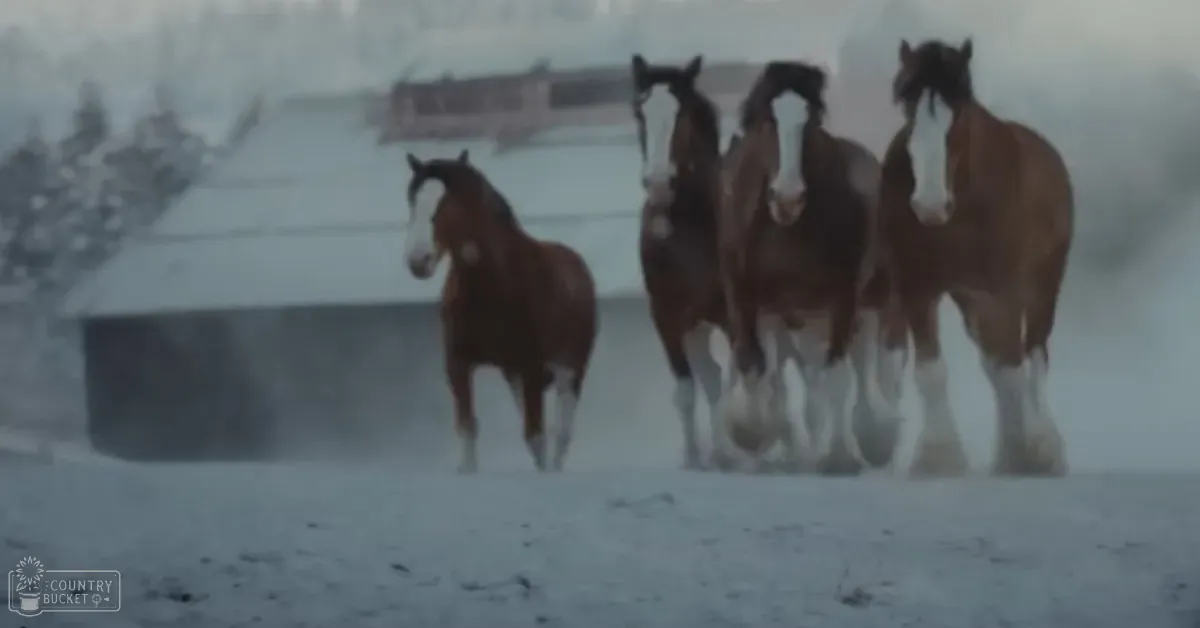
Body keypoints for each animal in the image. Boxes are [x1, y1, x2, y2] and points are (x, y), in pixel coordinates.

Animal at [403, 150, 599, 473]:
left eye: (448, 202)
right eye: (412, 201)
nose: (418, 261)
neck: (494, 288)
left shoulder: (533, 366)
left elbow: (537, 435)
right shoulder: (459, 364)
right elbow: (468, 427)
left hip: (569, 369)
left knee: (561, 432)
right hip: (514, 375)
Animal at [717, 60, 906, 475]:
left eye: (813, 120)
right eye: (767, 119)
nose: (788, 196)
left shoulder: (842, 299)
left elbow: (836, 377)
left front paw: (839, 457)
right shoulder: (746, 300)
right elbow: (756, 370)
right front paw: (751, 432)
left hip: (873, 299)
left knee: (872, 365)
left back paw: (876, 436)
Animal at [881, 38, 1072, 477]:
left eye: (961, 113)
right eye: (906, 104)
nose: (930, 205)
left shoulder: (1004, 290)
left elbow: (1013, 370)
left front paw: (1023, 453)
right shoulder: (917, 287)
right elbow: (932, 371)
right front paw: (939, 457)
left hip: (1043, 285)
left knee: (1034, 357)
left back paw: (1042, 444)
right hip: (970, 298)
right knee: (997, 364)